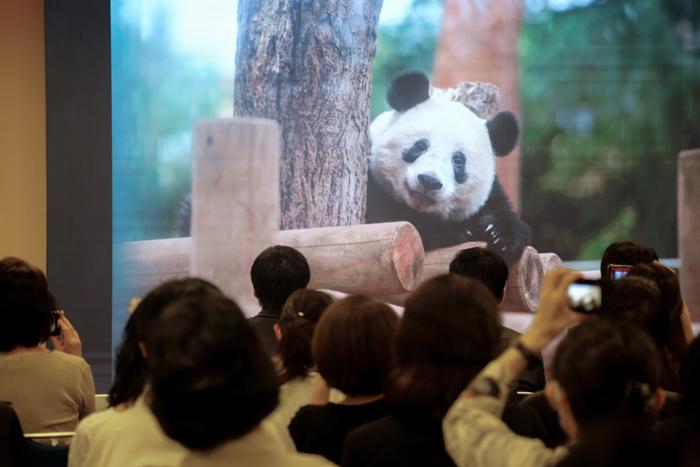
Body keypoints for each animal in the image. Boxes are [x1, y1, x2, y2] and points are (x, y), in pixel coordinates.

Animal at [366, 71, 532, 266]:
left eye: (458, 161)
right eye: (420, 146)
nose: (429, 181)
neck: (419, 208)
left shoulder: (490, 195)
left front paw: (499, 233)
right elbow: (385, 217)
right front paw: (456, 231)